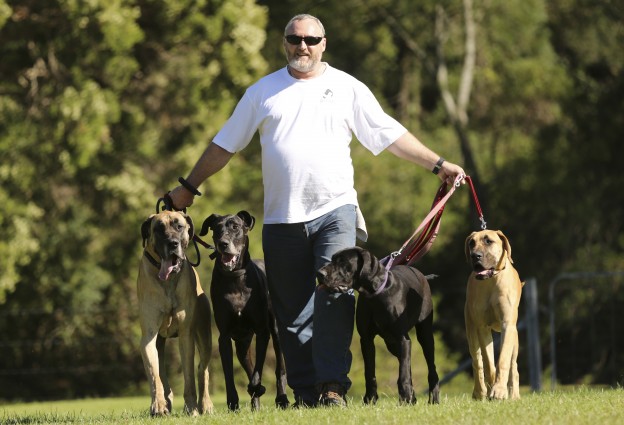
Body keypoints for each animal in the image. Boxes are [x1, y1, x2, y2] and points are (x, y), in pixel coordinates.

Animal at [200, 210, 290, 410]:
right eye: (216, 228)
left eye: (235, 227)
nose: (223, 243)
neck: (235, 277)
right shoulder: (224, 336)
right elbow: (229, 374)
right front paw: (233, 402)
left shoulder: (262, 331)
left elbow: (258, 370)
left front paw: (257, 387)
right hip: (242, 343)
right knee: (247, 363)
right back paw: (255, 404)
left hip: (276, 331)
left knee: (279, 368)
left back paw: (281, 398)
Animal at [320, 245, 442, 404]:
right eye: (333, 259)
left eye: (343, 262)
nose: (319, 273)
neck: (376, 295)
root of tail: (421, 275)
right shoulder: (366, 340)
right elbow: (370, 372)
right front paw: (370, 399)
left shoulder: (402, 338)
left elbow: (403, 373)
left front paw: (404, 397)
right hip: (392, 344)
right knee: (407, 364)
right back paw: (413, 397)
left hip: (424, 335)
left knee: (430, 368)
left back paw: (433, 398)